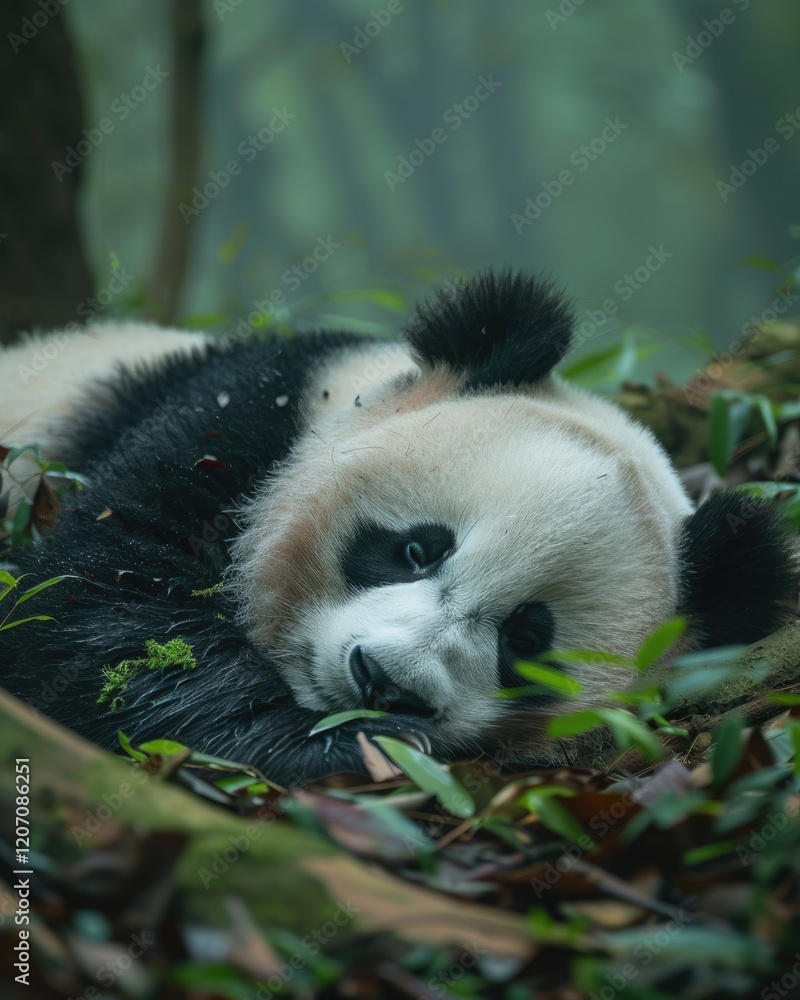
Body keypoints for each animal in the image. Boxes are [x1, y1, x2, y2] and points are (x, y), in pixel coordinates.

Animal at [0, 269, 794, 784]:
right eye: (416, 548)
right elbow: (93, 603)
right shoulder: (229, 422)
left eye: (525, 644)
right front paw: (342, 748)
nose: (385, 685)